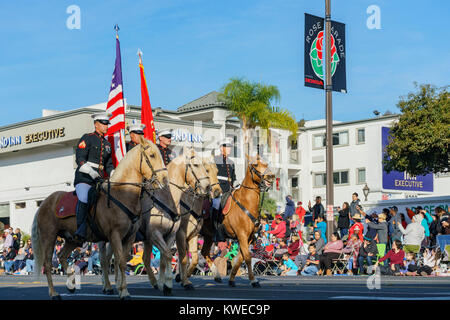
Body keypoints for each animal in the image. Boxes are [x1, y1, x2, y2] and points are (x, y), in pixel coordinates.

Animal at [30, 137, 167, 300]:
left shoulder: (130, 236)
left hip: (73, 239)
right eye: (152, 155)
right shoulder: (115, 235)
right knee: (48, 263)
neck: (122, 194)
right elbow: (120, 262)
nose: (164, 179)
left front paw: (121, 289)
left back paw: (71, 283)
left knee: (62, 256)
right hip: (49, 237)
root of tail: (44, 203)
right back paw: (54, 293)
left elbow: (121, 260)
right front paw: (124, 292)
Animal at [174, 154, 221, 288]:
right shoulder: (181, 234)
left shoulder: (192, 234)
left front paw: (185, 276)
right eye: (207, 170)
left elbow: (192, 258)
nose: (217, 192)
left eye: (217, 171)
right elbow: (183, 257)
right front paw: (184, 277)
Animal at [199, 155, 276, 288]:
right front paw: (253, 280)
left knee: (203, 252)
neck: (246, 203)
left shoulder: (248, 238)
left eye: (266, 163)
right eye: (255, 165)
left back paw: (216, 275)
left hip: (208, 236)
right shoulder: (242, 235)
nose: (271, 176)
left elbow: (240, 258)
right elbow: (248, 257)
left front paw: (231, 279)